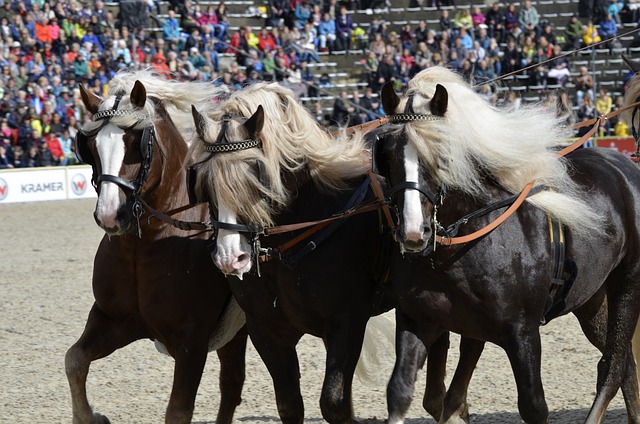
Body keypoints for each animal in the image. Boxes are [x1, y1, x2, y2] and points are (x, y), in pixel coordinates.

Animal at [65, 70, 245, 424]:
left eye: (137, 141)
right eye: (90, 146)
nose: (110, 215)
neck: (145, 244)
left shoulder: (192, 341)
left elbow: (178, 411)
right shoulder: (114, 321)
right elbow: (74, 360)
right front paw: (90, 416)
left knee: (232, 384)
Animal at [185, 81, 408, 422]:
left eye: (257, 175)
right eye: (204, 182)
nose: (230, 259)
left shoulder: (347, 320)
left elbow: (334, 402)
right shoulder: (266, 329)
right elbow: (290, 405)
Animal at [372, 64, 640, 422]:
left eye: (441, 154)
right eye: (386, 155)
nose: (414, 232)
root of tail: (624, 165)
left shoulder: (522, 332)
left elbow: (533, 405)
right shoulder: (420, 321)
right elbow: (401, 391)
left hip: (627, 283)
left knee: (612, 368)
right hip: (592, 299)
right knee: (626, 366)